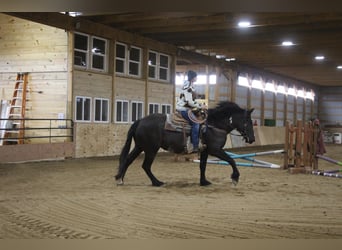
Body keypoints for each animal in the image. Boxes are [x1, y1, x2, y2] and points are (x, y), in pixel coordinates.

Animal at [115, 101, 254, 186]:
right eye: (248, 121)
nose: (252, 139)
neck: (214, 125)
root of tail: (140, 120)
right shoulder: (215, 150)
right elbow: (231, 160)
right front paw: (235, 178)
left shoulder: (205, 150)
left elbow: (202, 166)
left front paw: (203, 182)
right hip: (151, 149)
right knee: (146, 166)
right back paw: (157, 182)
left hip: (140, 147)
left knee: (128, 160)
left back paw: (120, 179)